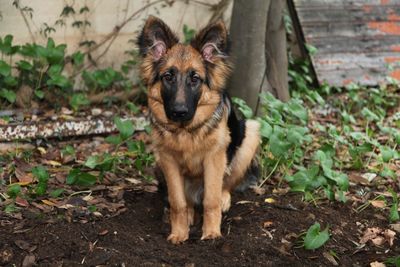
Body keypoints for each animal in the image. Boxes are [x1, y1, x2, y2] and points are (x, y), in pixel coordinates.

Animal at [138, 16, 260, 245]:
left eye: (195, 79)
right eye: (168, 77)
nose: (179, 112)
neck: (185, 133)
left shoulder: (214, 158)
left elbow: (211, 200)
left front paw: (211, 233)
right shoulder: (168, 159)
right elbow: (177, 202)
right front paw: (179, 233)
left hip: (250, 134)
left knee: (225, 185)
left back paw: (224, 199)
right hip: (158, 163)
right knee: (186, 201)